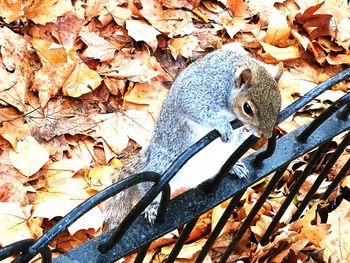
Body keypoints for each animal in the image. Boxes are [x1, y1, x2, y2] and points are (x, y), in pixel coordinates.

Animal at [102, 44, 284, 230]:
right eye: (247, 108)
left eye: (279, 104)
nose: (266, 134)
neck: (228, 84)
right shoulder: (198, 92)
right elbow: (196, 109)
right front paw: (223, 126)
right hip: (164, 165)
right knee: (148, 189)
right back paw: (153, 206)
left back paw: (234, 166)